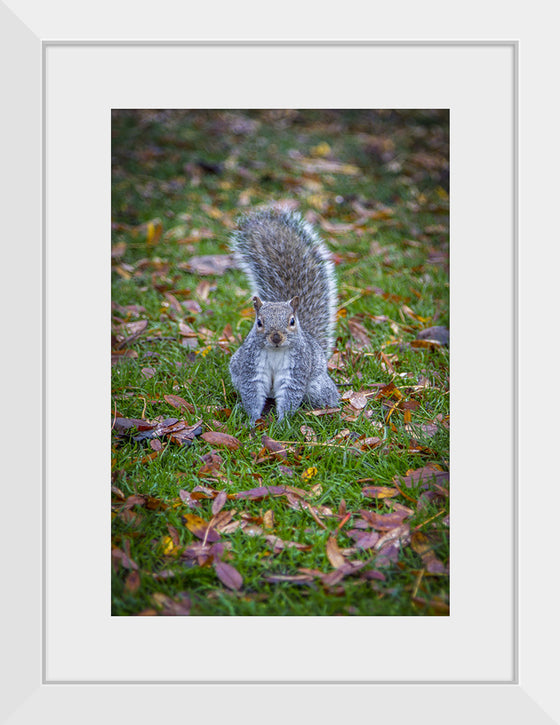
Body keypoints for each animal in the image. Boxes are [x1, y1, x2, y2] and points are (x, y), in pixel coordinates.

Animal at [229, 208, 342, 424]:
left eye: (291, 321)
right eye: (259, 322)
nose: (276, 337)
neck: (275, 351)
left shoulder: (296, 370)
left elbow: (290, 394)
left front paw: (283, 423)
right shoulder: (250, 367)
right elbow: (252, 392)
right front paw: (252, 420)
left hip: (316, 386)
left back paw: (330, 407)